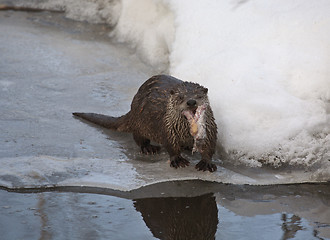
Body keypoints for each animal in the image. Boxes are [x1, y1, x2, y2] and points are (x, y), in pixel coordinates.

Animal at [73, 74, 218, 172]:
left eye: (199, 96)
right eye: (180, 97)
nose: (191, 102)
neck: (186, 131)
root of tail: (132, 110)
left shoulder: (210, 129)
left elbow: (210, 146)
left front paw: (206, 163)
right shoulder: (167, 128)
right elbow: (171, 146)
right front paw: (177, 160)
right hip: (140, 122)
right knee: (138, 138)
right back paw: (149, 148)